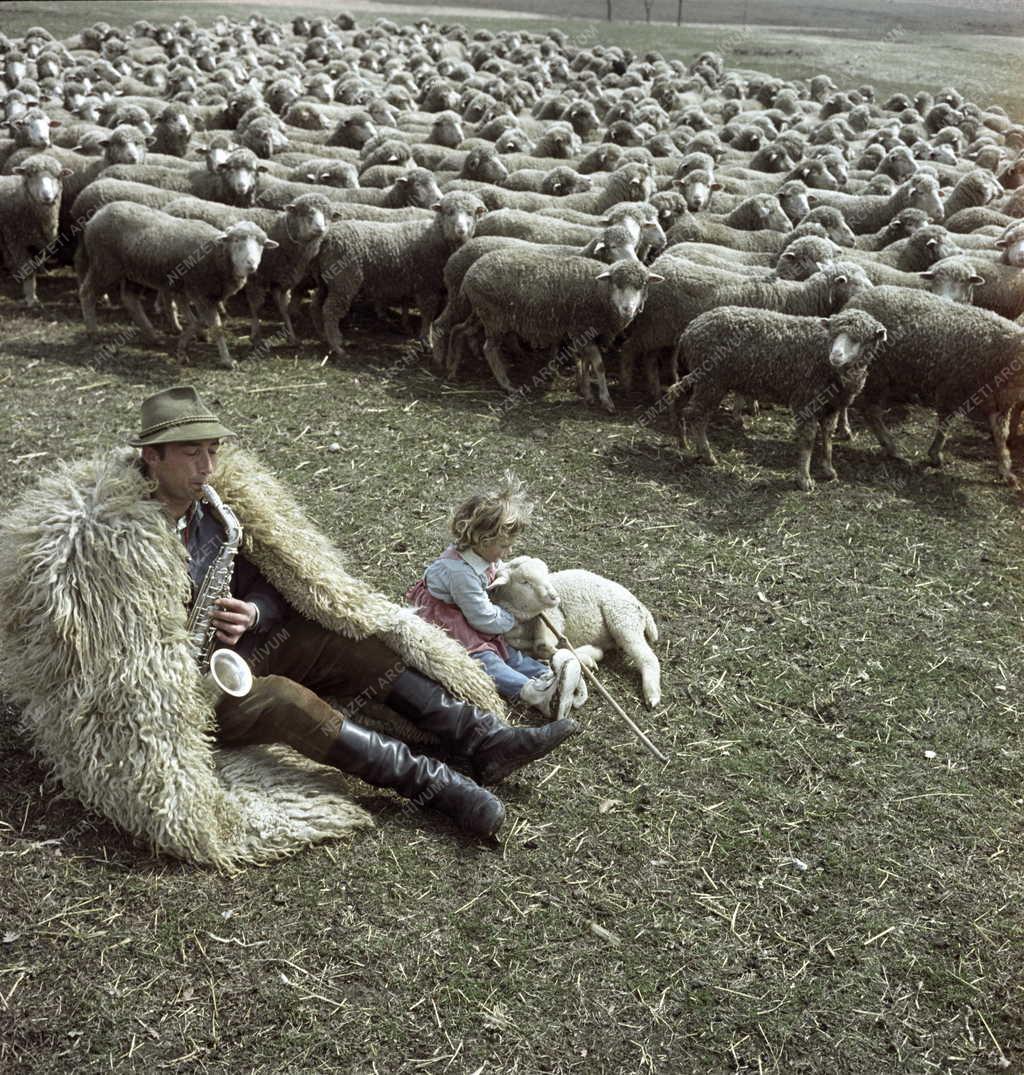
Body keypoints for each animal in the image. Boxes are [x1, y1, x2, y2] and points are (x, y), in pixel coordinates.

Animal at [78, 199, 279, 367]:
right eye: (236, 240)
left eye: (261, 244)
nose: (251, 264)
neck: (217, 256)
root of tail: (98, 214)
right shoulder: (201, 293)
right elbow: (214, 326)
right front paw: (226, 360)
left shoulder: (197, 292)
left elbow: (198, 320)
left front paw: (185, 344)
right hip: (105, 265)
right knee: (87, 292)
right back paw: (93, 332)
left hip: (133, 273)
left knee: (130, 300)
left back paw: (152, 336)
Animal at [489, 559, 661, 709]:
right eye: (525, 582)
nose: (554, 596)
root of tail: (641, 606)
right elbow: (543, 649)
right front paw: (589, 655)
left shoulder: (553, 617)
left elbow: (544, 646)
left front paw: (589, 656)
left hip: (623, 619)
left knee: (648, 658)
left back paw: (652, 694)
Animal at [670, 307, 885, 492]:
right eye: (833, 335)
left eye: (857, 339)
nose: (836, 355)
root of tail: (691, 328)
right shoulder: (805, 399)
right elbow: (808, 439)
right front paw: (804, 478)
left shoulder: (831, 406)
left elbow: (827, 435)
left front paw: (828, 469)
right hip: (711, 381)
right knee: (697, 415)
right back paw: (707, 455)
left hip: (700, 375)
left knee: (677, 395)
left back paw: (683, 441)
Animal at [842, 285, 1022, 488]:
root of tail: (856, 300)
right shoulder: (951, 389)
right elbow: (945, 423)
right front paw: (935, 455)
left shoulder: (1001, 404)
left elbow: (1001, 436)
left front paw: (1006, 470)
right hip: (876, 372)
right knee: (870, 411)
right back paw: (891, 447)